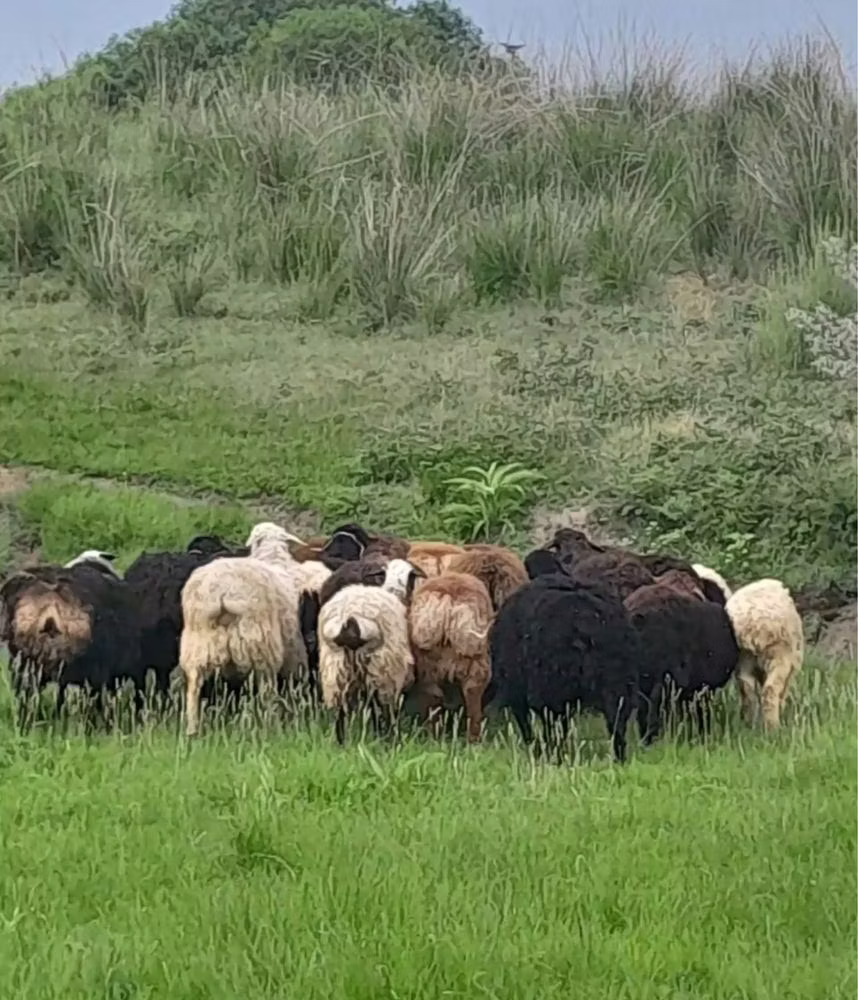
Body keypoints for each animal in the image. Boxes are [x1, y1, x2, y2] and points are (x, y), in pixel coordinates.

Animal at [179, 521, 323, 736]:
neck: (273, 557)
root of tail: (222, 592)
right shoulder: (295, 652)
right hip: (261, 645)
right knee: (267, 690)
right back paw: (270, 724)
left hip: (199, 644)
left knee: (194, 687)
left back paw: (192, 728)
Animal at [317, 558, 422, 743]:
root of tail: (351, 621)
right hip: (382, 667)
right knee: (384, 707)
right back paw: (391, 740)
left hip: (335, 667)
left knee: (340, 711)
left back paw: (341, 742)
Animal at [407, 570, 494, 743]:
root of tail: (447, 601)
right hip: (475, 662)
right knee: (472, 693)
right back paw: (474, 740)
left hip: (428, 664)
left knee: (434, 695)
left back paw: (434, 737)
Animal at [488, 558, 639, 763]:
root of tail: (587, 619)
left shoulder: (516, 691)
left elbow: (528, 726)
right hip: (618, 683)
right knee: (617, 723)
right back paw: (619, 759)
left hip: (551, 687)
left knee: (553, 728)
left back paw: (555, 757)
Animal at [725, 579, 804, 730]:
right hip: (778, 656)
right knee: (770, 691)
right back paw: (774, 728)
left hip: (744, 659)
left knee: (747, 691)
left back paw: (749, 725)